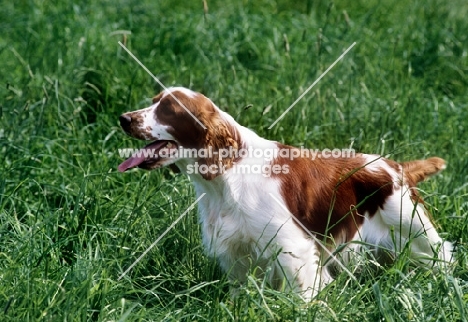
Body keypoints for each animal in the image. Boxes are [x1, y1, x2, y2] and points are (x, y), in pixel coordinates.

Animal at [118, 86, 454, 300]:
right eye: (154, 101)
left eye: (169, 110)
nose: (124, 118)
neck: (226, 174)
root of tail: (397, 167)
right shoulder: (236, 253)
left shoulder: (293, 249)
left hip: (416, 233)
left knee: (444, 256)